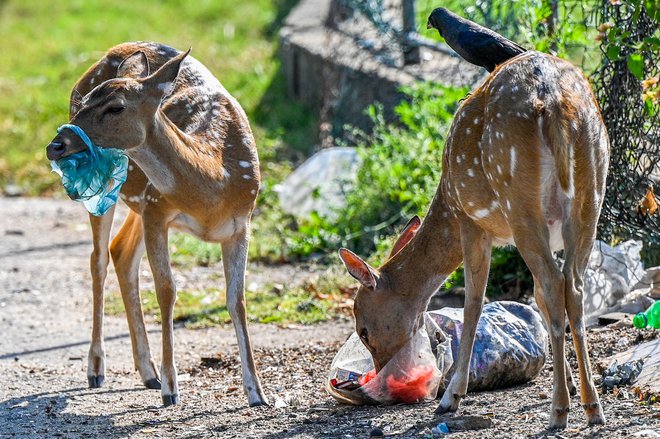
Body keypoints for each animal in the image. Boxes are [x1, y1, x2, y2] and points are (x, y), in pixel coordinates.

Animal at [45, 43, 268, 408]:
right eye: (84, 101)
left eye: (115, 106)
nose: (56, 145)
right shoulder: (157, 210)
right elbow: (167, 291)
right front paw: (171, 388)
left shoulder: (242, 223)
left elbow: (237, 300)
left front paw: (257, 393)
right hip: (117, 192)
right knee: (99, 260)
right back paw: (97, 369)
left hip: (138, 200)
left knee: (120, 252)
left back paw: (147, 372)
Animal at [340, 49, 608, 430]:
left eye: (363, 329)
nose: (382, 374)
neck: (446, 201)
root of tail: (553, 103)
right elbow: (538, 299)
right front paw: (570, 381)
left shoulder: (471, 222)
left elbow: (474, 302)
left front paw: (451, 397)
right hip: (590, 197)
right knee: (573, 287)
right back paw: (592, 406)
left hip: (519, 201)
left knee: (556, 285)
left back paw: (559, 412)